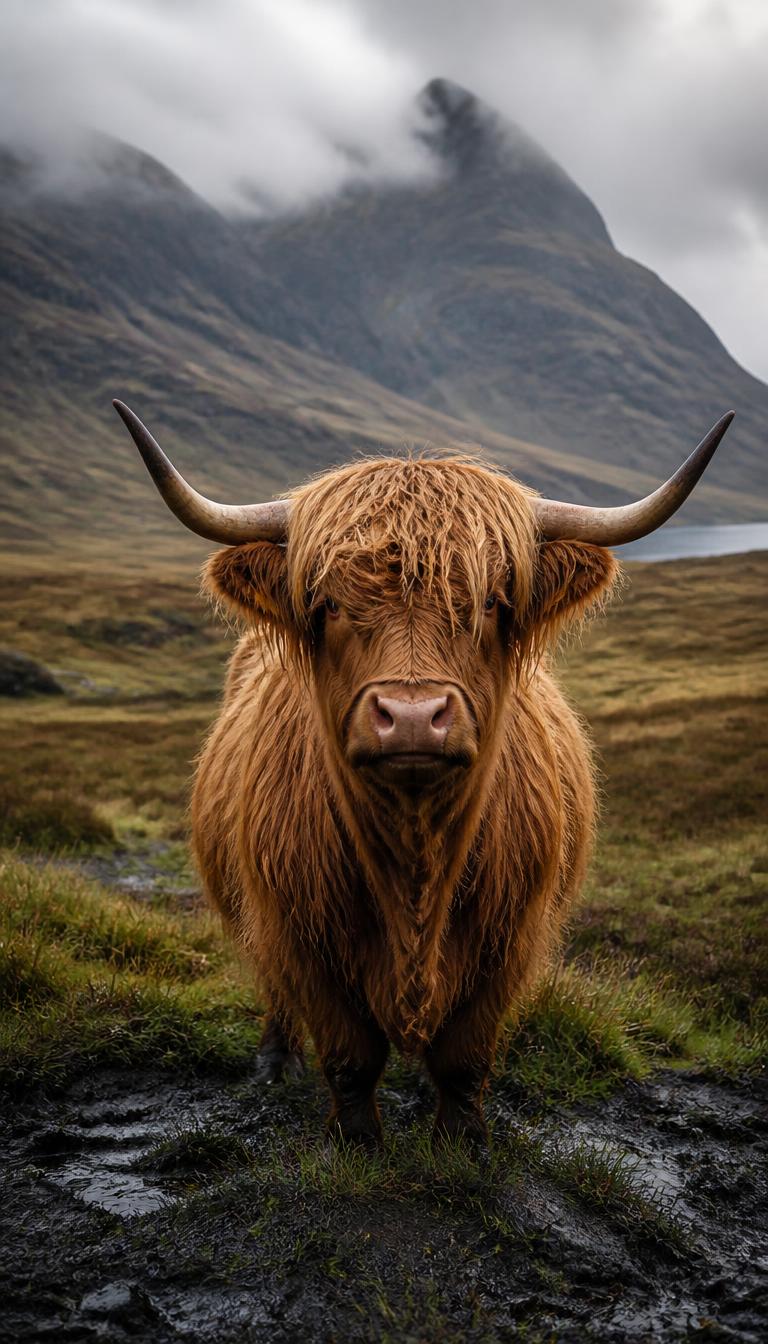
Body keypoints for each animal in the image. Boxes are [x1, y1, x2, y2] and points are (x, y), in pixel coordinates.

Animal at [114, 401, 733, 1147]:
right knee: (276, 993)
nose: (411, 717)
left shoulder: (509, 942)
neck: (414, 867)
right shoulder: (302, 937)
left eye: (493, 602)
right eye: (327, 604)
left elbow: (464, 1059)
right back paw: (273, 1063)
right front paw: (359, 1147)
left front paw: (461, 1147)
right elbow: (349, 1057)